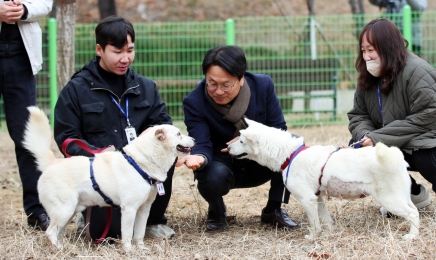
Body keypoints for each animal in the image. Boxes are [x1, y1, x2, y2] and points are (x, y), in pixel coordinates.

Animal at [22, 106, 195, 251]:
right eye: (179, 134)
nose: (194, 139)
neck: (140, 163)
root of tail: (51, 163)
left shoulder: (143, 209)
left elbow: (139, 233)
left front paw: (141, 249)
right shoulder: (129, 209)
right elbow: (127, 235)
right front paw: (129, 251)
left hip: (69, 211)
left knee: (59, 232)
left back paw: (65, 247)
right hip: (64, 210)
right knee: (50, 232)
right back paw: (60, 249)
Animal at [227, 119, 418, 241]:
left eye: (241, 141)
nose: (227, 148)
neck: (290, 155)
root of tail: (397, 158)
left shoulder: (307, 199)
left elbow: (315, 224)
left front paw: (313, 238)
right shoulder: (318, 198)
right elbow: (326, 220)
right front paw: (330, 234)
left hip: (390, 200)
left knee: (413, 214)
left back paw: (411, 236)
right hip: (401, 198)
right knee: (414, 210)